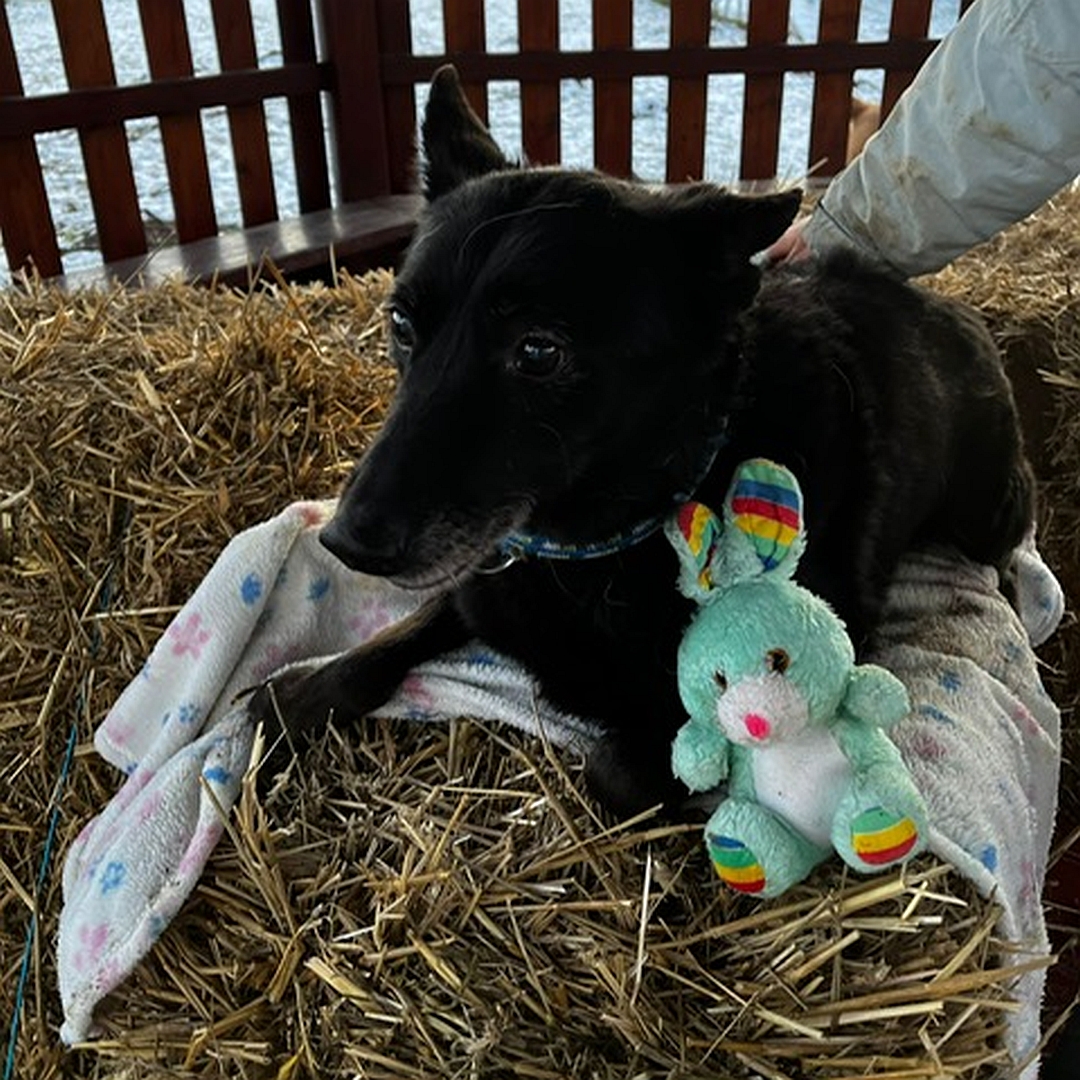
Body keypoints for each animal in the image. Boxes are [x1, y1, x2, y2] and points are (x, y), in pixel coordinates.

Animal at [248, 65, 1032, 816]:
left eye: (539, 351)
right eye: (401, 325)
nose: (346, 543)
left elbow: (618, 770)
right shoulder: (480, 577)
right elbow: (401, 632)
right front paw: (306, 691)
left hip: (990, 510)